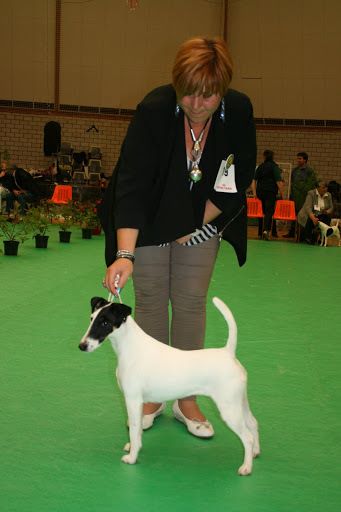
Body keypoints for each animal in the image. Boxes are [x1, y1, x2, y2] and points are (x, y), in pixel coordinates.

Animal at [78, 296, 258, 476]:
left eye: (105, 323)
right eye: (92, 319)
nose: (82, 346)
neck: (130, 347)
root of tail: (228, 353)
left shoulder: (132, 400)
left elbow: (134, 429)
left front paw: (132, 457)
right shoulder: (139, 403)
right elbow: (138, 431)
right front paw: (134, 447)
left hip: (229, 409)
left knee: (247, 437)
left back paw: (246, 467)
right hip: (240, 403)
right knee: (253, 423)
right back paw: (255, 453)